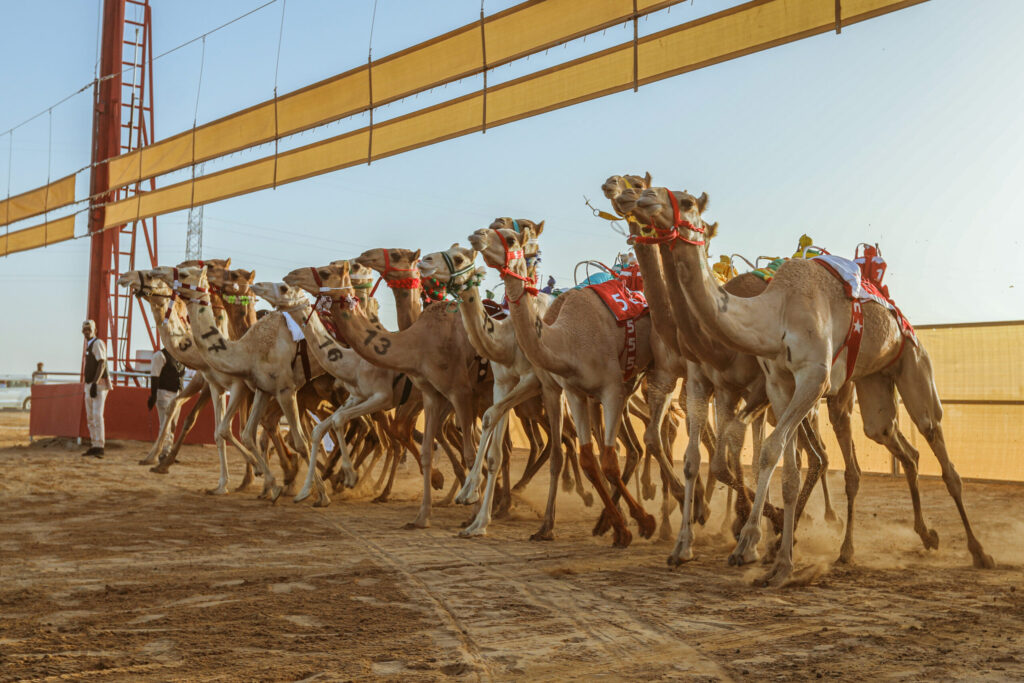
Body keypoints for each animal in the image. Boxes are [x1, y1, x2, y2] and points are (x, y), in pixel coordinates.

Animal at [626, 187, 995, 589]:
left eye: (688, 202)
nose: (643, 198)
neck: (774, 313)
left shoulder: (814, 377)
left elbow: (773, 452)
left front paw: (761, 550)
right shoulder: (778, 383)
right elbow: (781, 465)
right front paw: (770, 557)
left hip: (914, 364)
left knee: (939, 449)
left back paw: (980, 552)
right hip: (874, 385)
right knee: (894, 441)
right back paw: (919, 537)